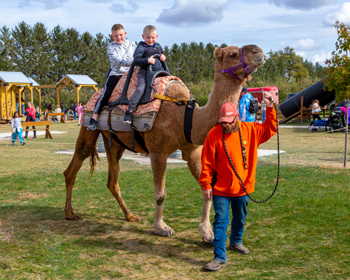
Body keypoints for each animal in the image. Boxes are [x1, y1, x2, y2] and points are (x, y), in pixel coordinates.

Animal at [63, 44, 266, 242]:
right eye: (232, 54)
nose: (259, 52)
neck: (185, 115)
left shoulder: (192, 151)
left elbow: (206, 188)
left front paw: (207, 232)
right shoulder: (157, 152)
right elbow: (160, 194)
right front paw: (161, 228)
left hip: (115, 143)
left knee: (112, 180)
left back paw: (130, 216)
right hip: (88, 127)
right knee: (73, 167)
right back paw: (70, 213)